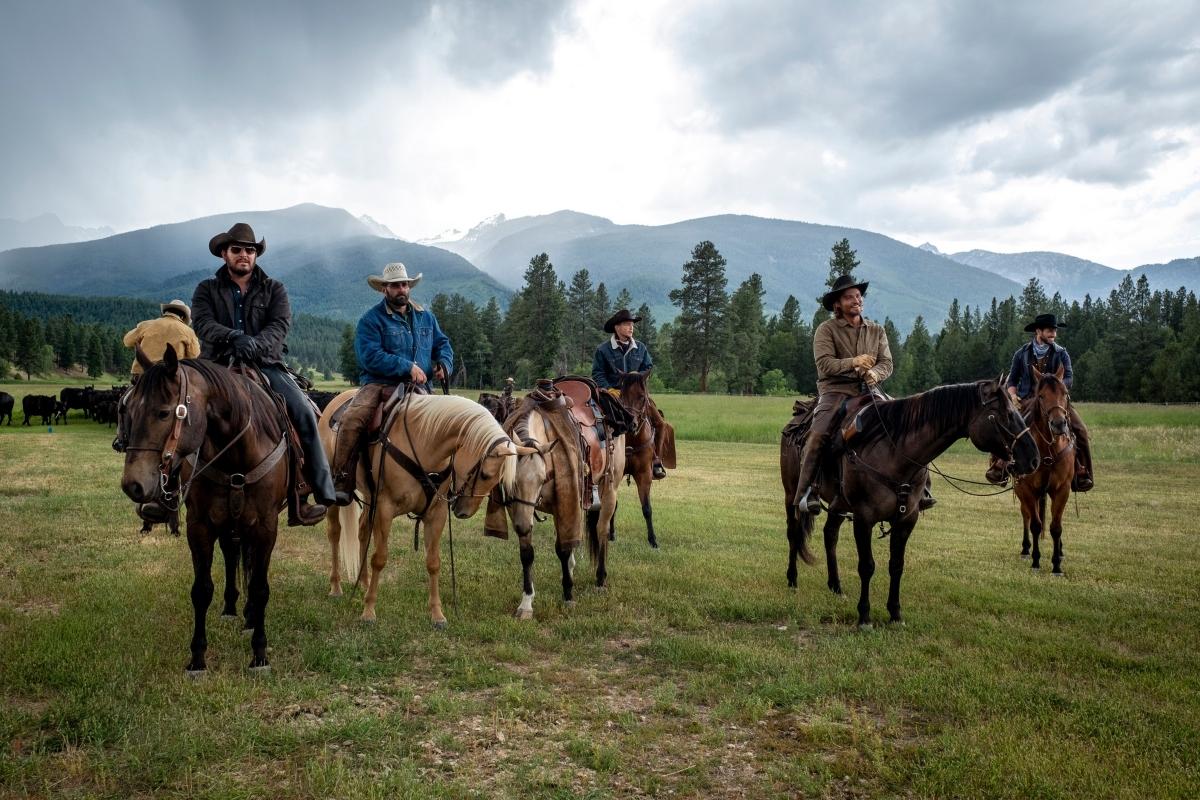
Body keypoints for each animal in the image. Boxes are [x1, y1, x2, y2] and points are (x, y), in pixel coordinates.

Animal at [118, 347, 291, 671]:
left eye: (164, 412)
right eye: (128, 410)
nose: (132, 485)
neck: (236, 452)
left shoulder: (266, 526)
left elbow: (260, 588)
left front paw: (259, 654)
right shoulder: (200, 525)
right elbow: (201, 589)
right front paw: (197, 658)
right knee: (232, 554)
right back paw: (233, 608)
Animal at [777, 379, 1041, 628]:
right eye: (1006, 415)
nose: (1033, 459)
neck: (892, 452)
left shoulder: (906, 519)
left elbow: (896, 565)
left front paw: (895, 614)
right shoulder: (864, 518)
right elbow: (867, 566)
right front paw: (864, 617)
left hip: (838, 504)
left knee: (830, 535)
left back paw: (836, 586)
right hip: (791, 495)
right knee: (793, 533)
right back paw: (792, 579)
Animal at [1012, 367, 1080, 573]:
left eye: (1065, 393)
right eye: (1041, 396)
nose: (1058, 424)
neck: (1049, 449)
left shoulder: (1062, 489)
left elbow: (1056, 527)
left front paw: (1056, 564)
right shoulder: (1026, 488)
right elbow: (1035, 524)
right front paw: (1036, 560)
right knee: (1026, 514)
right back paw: (1026, 549)